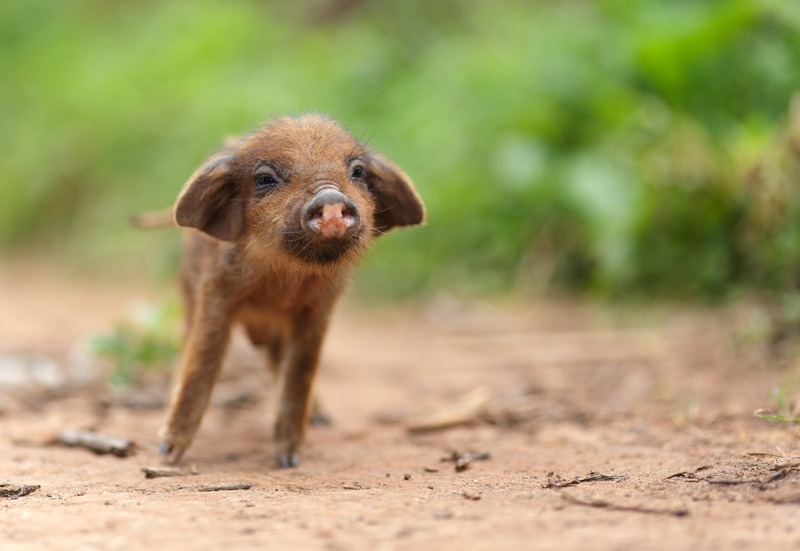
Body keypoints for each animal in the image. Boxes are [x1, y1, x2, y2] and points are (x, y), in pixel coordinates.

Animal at [158, 114, 425, 467]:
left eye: (357, 172)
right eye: (265, 179)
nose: (330, 199)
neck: (283, 284)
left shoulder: (320, 308)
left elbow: (301, 371)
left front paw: (289, 460)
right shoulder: (216, 291)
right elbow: (202, 361)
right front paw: (167, 455)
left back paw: (322, 419)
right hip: (187, 293)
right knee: (186, 344)